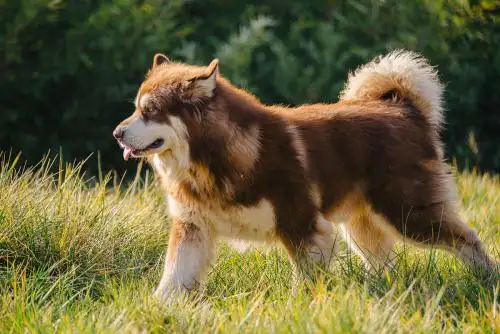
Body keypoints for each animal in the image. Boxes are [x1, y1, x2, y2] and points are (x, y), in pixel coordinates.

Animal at [114, 51, 496, 298]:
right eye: (136, 109)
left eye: (150, 111)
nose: (117, 133)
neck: (213, 159)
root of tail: (405, 109)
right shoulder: (192, 227)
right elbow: (172, 278)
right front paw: (157, 308)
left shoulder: (303, 227)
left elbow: (307, 282)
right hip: (362, 226)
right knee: (384, 263)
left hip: (408, 215)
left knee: (467, 239)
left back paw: (488, 280)